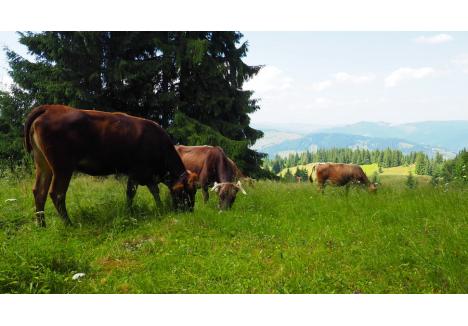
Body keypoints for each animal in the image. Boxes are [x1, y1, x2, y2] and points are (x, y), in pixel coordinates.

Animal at [24, 105, 198, 227]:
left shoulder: (145, 174)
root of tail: (50, 108)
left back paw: (42, 225)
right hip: (62, 167)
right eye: (186, 192)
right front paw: (133, 212)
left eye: (195, 190)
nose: (190, 211)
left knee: (39, 192)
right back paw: (69, 224)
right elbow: (135, 193)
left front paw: (157, 209)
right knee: (57, 194)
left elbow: (150, 192)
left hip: (43, 164)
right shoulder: (138, 171)